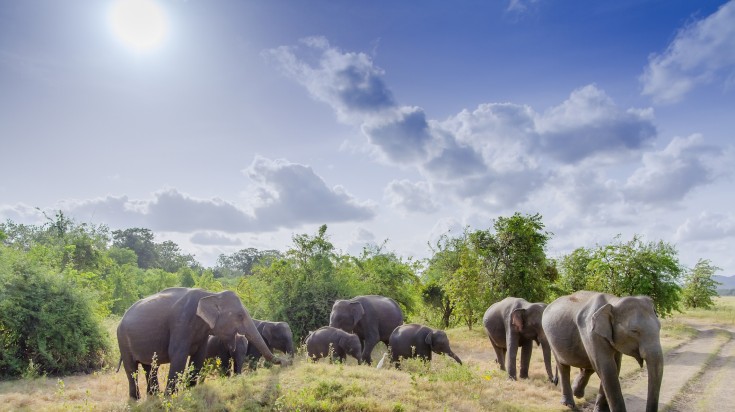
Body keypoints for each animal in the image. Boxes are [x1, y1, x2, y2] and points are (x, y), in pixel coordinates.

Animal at [116, 286, 286, 400]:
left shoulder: (203, 331)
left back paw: (153, 396)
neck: (211, 294)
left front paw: (190, 391)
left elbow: (198, 357)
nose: (286, 362)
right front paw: (169, 397)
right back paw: (136, 399)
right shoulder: (181, 322)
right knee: (131, 368)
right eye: (239, 315)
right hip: (122, 339)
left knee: (150, 366)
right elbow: (178, 355)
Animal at [540, 292, 668, 410]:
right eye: (634, 331)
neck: (614, 302)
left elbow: (615, 367)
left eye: (659, 327)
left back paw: (577, 392)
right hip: (551, 338)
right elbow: (607, 368)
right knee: (563, 367)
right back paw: (568, 404)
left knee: (589, 366)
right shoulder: (591, 333)